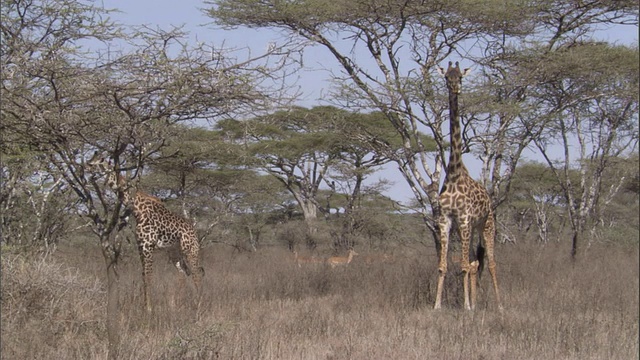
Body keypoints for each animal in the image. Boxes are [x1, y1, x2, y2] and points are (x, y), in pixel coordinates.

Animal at [86, 152, 204, 312]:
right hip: (174, 253)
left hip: (190, 250)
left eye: (93, 164)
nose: (84, 168)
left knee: (196, 274)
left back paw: (198, 305)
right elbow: (143, 275)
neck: (137, 209)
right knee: (185, 273)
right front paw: (144, 306)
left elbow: (148, 276)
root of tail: (194, 232)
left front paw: (149, 308)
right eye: (89, 161)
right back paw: (180, 304)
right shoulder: (140, 245)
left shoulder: (148, 245)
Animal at [432, 61, 502, 310]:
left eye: (460, 77)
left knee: (490, 263)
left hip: (486, 224)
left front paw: (466, 306)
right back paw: (476, 302)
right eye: (447, 77)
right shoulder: (446, 220)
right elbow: (443, 266)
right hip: (471, 229)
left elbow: (462, 266)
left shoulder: (463, 219)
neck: (453, 174)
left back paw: (499, 305)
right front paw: (437, 306)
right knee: (474, 262)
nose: (455, 88)